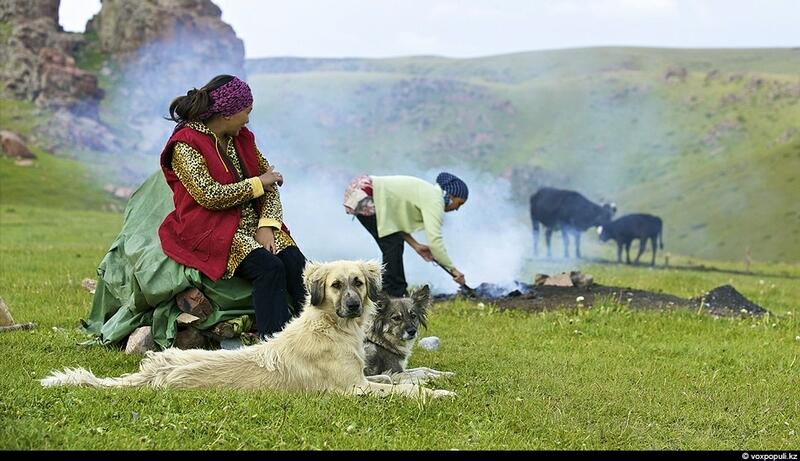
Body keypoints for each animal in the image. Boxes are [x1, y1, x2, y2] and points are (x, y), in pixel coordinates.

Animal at [42, 260, 456, 398]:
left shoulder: (363, 377)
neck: (330, 328)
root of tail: (151, 373)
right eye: (337, 285)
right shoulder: (351, 389)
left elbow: (394, 378)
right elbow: (398, 390)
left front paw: (429, 379)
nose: (354, 306)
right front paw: (436, 393)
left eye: (357, 282)